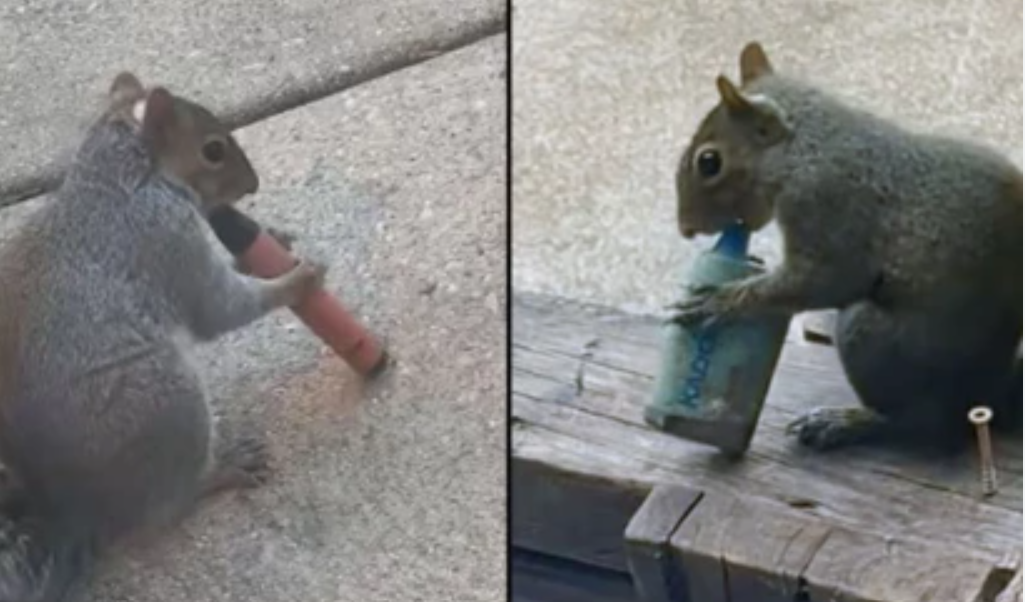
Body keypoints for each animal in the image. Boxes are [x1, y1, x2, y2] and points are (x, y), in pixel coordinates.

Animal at [0, 73, 326, 600]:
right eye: (213, 150)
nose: (253, 185)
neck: (121, 177)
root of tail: (72, 510)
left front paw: (270, 244)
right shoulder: (167, 240)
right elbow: (220, 308)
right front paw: (298, 280)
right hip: (168, 404)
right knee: (171, 503)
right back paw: (225, 468)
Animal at [671, 43, 1022, 452]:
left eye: (709, 162)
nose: (686, 228)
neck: (807, 146)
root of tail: (991, 388)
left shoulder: (829, 205)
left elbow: (825, 280)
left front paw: (720, 301)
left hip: (871, 337)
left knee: (921, 424)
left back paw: (847, 421)